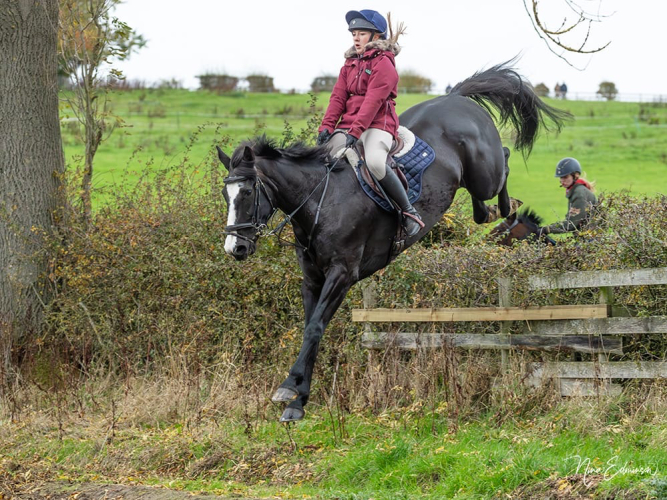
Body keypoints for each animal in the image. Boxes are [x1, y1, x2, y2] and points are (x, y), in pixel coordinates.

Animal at [217, 62, 569, 422]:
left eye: (247, 192)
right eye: (225, 194)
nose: (235, 248)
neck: (320, 199)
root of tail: (455, 97)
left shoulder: (342, 274)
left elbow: (315, 327)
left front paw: (289, 391)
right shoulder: (312, 278)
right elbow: (310, 328)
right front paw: (298, 399)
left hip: (485, 172)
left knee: (505, 162)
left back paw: (508, 207)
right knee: (482, 208)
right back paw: (494, 211)